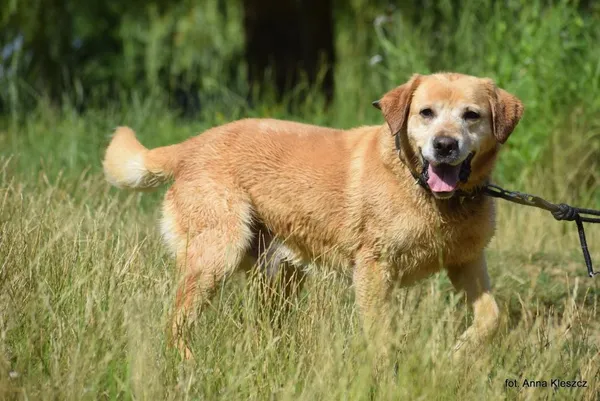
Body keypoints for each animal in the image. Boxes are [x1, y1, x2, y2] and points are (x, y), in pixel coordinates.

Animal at [104, 72, 524, 356]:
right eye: (426, 113)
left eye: (471, 115)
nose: (445, 145)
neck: (428, 193)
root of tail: (192, 145)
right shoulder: (374, 270)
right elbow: (381, 337)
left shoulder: (467, 262)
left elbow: (492, 317)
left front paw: (461, 351)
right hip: (216, 258)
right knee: (175, 323)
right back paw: (189, 366)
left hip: (279, 277)